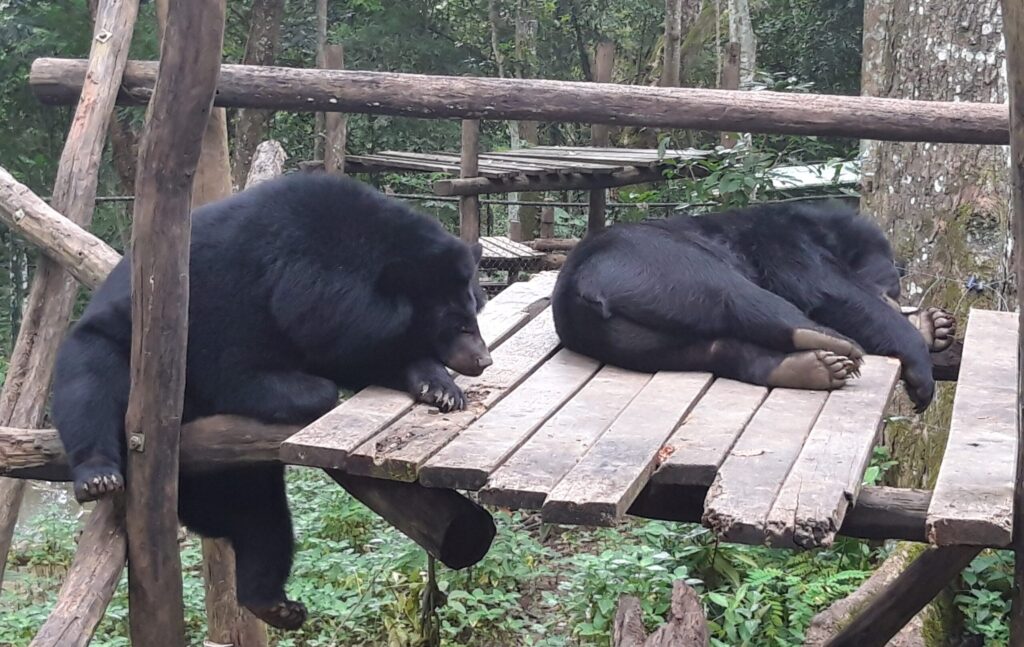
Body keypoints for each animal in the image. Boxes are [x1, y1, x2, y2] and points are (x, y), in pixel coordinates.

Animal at [50, 172, 491, 630]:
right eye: (457, 324)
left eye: (475, 310)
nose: (482, 360)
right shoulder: (240, 297)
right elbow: (237, 370)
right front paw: (311, 392)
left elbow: (368, 357)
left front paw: (440, 388)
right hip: (110, 347)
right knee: (90, 388)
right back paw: (98, 476)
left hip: (242, 481)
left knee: (261, 523)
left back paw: (275, 604)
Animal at [552, 200, 954, 413]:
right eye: (893, 287)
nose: (896, 298)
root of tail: (581, 287)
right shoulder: (783, 241)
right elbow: (825, 287)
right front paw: (921, 378)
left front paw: (934, 325)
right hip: (664, 263)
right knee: (738, 297)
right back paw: (833, 343)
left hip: (628, 340)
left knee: (714, 348)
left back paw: (812, 367)